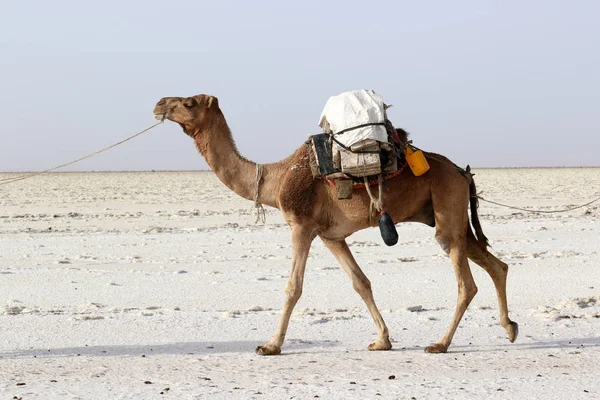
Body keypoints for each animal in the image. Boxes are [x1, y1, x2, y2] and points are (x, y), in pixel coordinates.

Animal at [152, 92, 516, 354]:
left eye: (188, 103)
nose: (158, 104)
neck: (275, 178)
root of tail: (462, 172)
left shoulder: (301, 225)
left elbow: (293, 287)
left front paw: (270, 345)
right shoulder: (331, 236)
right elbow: (361, 283)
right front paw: (382, 340)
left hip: (446, 210)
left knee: (465, 281)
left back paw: (440, 344)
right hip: (450, 215)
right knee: (496, 264)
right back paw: (509, 327)